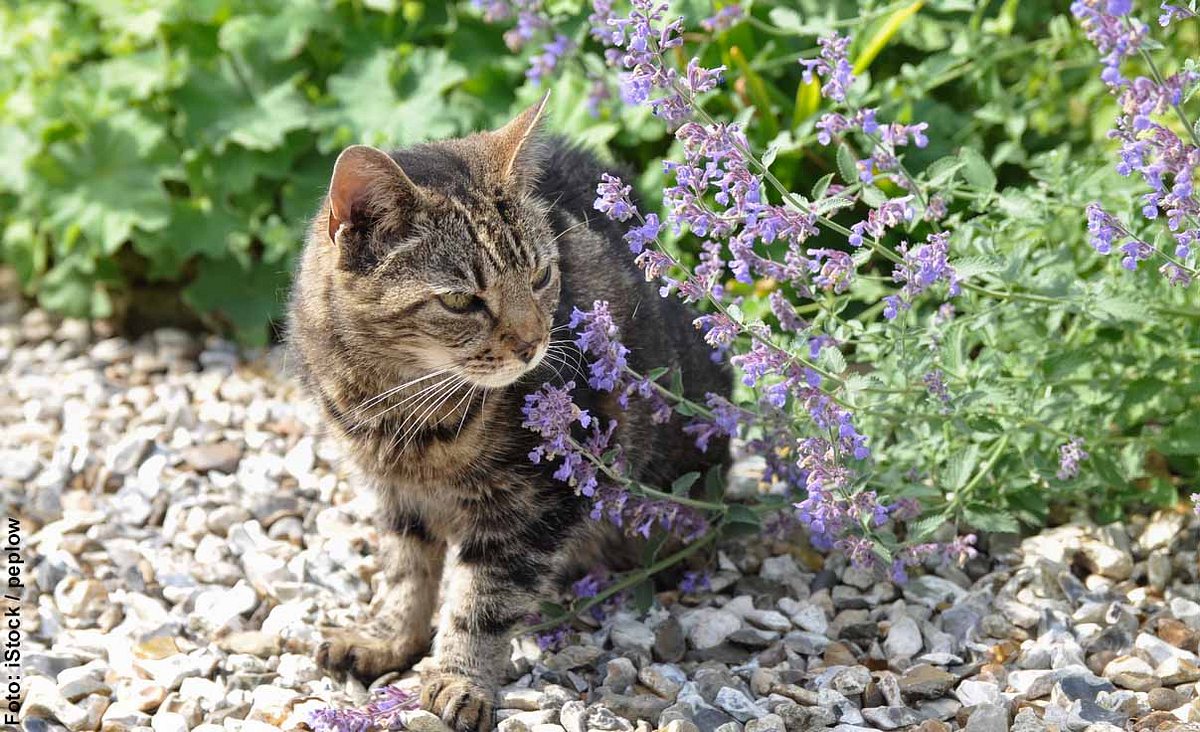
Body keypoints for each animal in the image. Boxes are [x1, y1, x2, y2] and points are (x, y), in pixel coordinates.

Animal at [288, 97, 729, 729]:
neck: (401, 409)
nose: (532, 342)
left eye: (541, 275)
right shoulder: (394, 495)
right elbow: (404, 572)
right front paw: (387, 639)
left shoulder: (536, 501)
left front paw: (458, 680)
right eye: (459, 300)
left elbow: (483, 601)